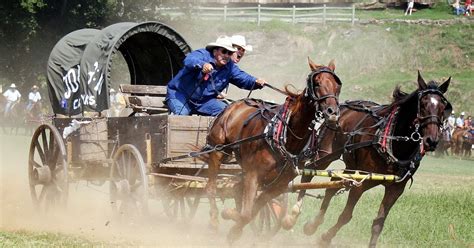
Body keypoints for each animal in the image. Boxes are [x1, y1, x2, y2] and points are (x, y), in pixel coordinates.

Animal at [202, 57, 342, 242]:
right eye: (317, 83)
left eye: (337, 85)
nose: (332, 112)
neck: (287, 138)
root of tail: (232, 106)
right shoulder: (254, 174)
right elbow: (247, 213)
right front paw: (233, 225)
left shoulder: (279, 184)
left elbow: (255, 209)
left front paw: (234, 221)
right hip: (217, 152)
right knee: (211, 187)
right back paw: (213, 220)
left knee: (237, 189)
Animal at [284, 71, 450, 246]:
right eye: (423, 104)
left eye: (443, 106)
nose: (432, 141)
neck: (391, 140)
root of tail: (340, 108)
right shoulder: (361, 182)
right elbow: (346, 216)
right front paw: (325, 237)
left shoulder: (396, 188)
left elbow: (378, 223)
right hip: (325, 154)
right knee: (309, 174)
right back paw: (293, 215)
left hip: (351, 166)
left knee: (332, 186)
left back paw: (313, 224)